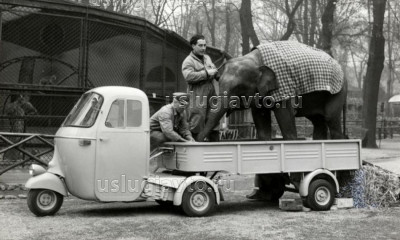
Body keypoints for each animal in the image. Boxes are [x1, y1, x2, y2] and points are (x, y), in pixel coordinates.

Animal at [198, 41, 348, 201]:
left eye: (239, 87)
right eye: (218, 81)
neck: (255, 60)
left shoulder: (283, 87)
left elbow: (286, 121)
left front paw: (294, 182)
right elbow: (262, 123)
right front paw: (267, 188)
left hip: (337, 93)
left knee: (331, 119)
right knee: (318, 121)